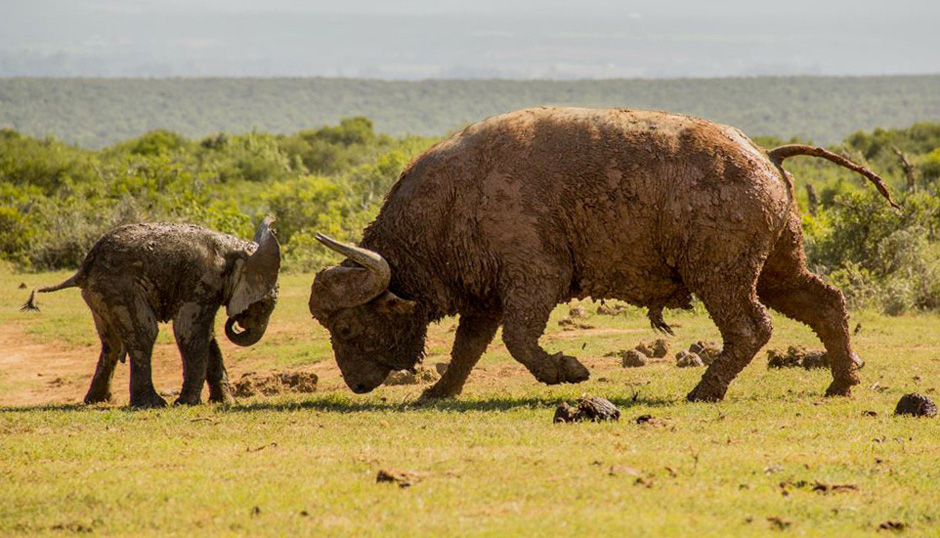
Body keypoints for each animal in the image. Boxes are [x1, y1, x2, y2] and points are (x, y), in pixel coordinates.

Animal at [22, 216, 280, 404]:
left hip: (99, 294)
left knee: (111, 343)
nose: (236, 320)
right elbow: (189, 333)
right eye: (263, 304)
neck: (236, 250)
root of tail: (84, 268)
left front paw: (225, 403)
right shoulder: (202, 280)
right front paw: (187, 404)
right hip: (118, 286)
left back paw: (97, 401)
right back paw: (151, 404)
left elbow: (207, 338)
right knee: (143, 333)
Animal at [310, 107, 896, 400]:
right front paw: (437, 391)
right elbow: (467, 349)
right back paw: (841, 383)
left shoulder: (534, 282)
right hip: (777, 270)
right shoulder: (486, 297)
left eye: (347, 326)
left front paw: (568, 371)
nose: (357, 384)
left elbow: (520, 342)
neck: (454, 197)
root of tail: (765, 155)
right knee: (827, 304)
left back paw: (704, 390)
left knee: (751, 329)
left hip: (722, 278)